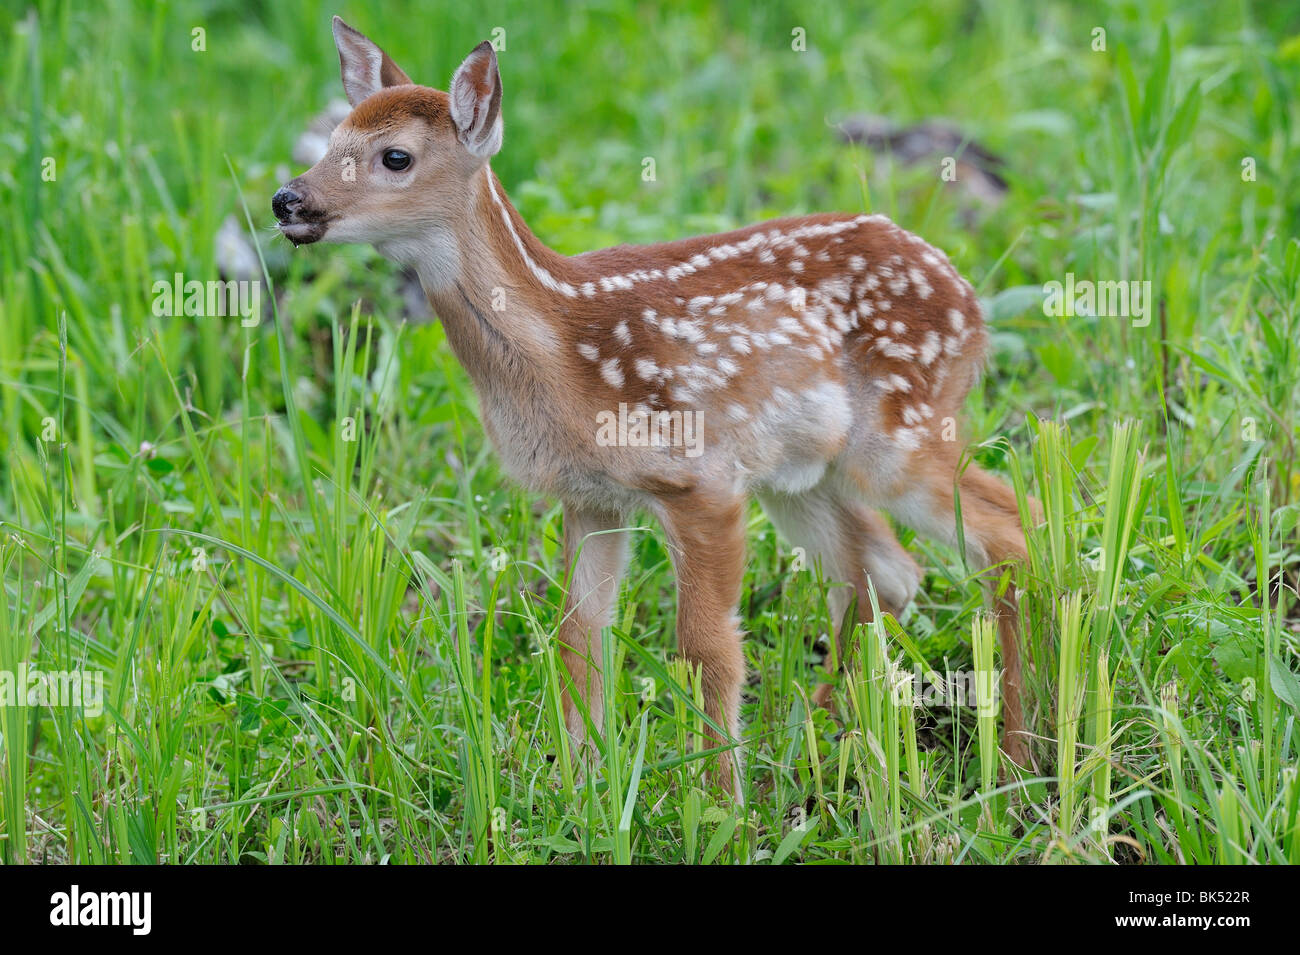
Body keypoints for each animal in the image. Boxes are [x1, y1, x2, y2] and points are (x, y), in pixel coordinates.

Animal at [273, 17, 1036, 799]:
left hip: (897, 433)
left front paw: (720, 801)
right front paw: (578, 788)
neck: (560, 351)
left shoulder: (700, 480)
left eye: (395, 156)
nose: (287, 201)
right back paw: (823, 741)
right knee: (883, 569)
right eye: (332, 140)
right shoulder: (590, 495)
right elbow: (579, 638)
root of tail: (972, 305)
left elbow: (706, 649)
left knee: (1008, 532)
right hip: (803, 473)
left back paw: (1016, 760)